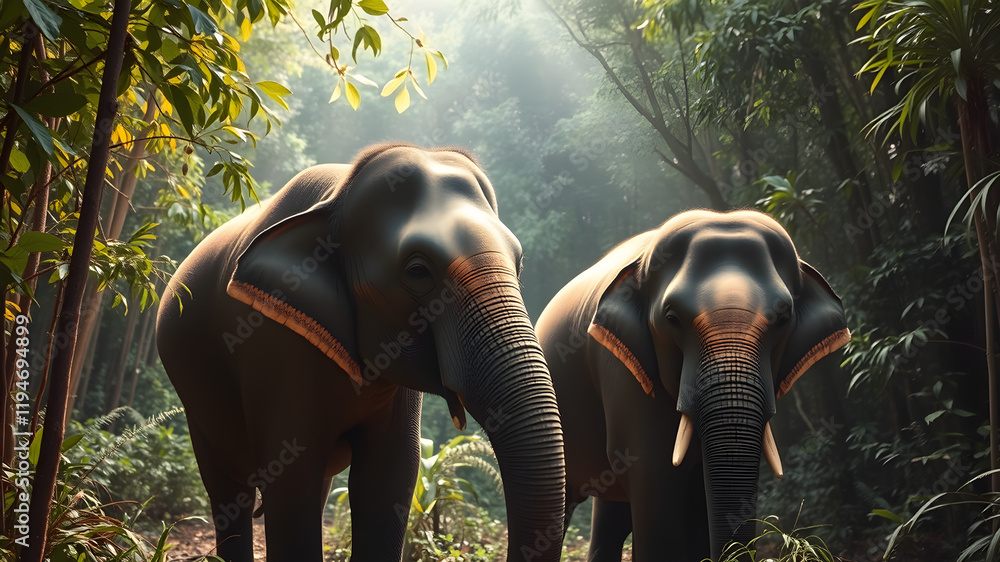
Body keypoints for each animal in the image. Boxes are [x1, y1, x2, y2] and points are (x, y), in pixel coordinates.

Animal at [156, 143, 566, 562]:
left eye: (519, 264)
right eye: (417, 271)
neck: (339, 194)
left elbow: (391, 471)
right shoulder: (271, 338)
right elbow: (290, 471)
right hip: (194, 398)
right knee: (228, 488)